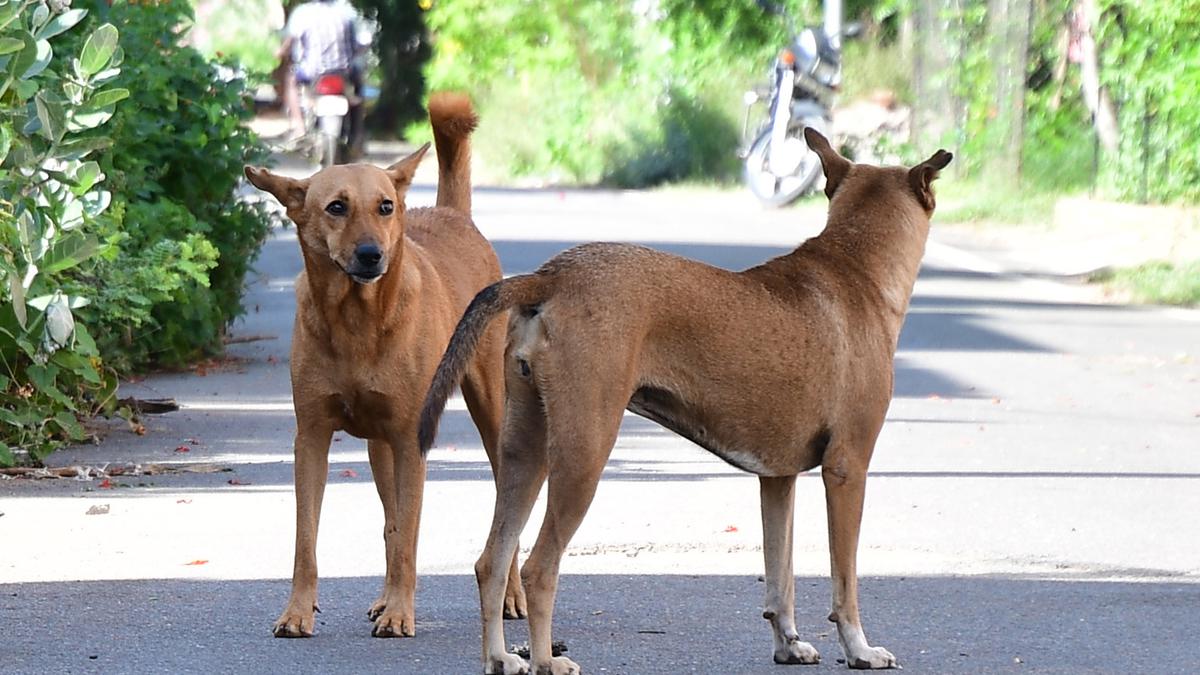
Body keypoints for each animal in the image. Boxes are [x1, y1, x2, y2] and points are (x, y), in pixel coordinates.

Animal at [243, 93, 525, 634]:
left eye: (385, 207)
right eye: (336, 207)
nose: (373, 254)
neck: (357, 321)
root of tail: (454, 214)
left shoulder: (411, 441)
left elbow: (409, 537)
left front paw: (399, 614)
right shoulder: (312, 437)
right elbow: (308, 540)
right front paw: (298, 611)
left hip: (490, 411)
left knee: (504, 514)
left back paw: (510, 596)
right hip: (379, 450)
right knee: (391, 522)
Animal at [417, 128, 950, 667]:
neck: (854, 268)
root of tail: (551, 275)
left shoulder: (777, 481)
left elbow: (780, 577)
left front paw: (788, 643)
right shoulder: (847, 469)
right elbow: (845, 582)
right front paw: (859, 649)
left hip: (524, 451)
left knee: (492, 560)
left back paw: (501, 658)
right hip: (583, 455)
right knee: (538, 568)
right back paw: (547, 661)